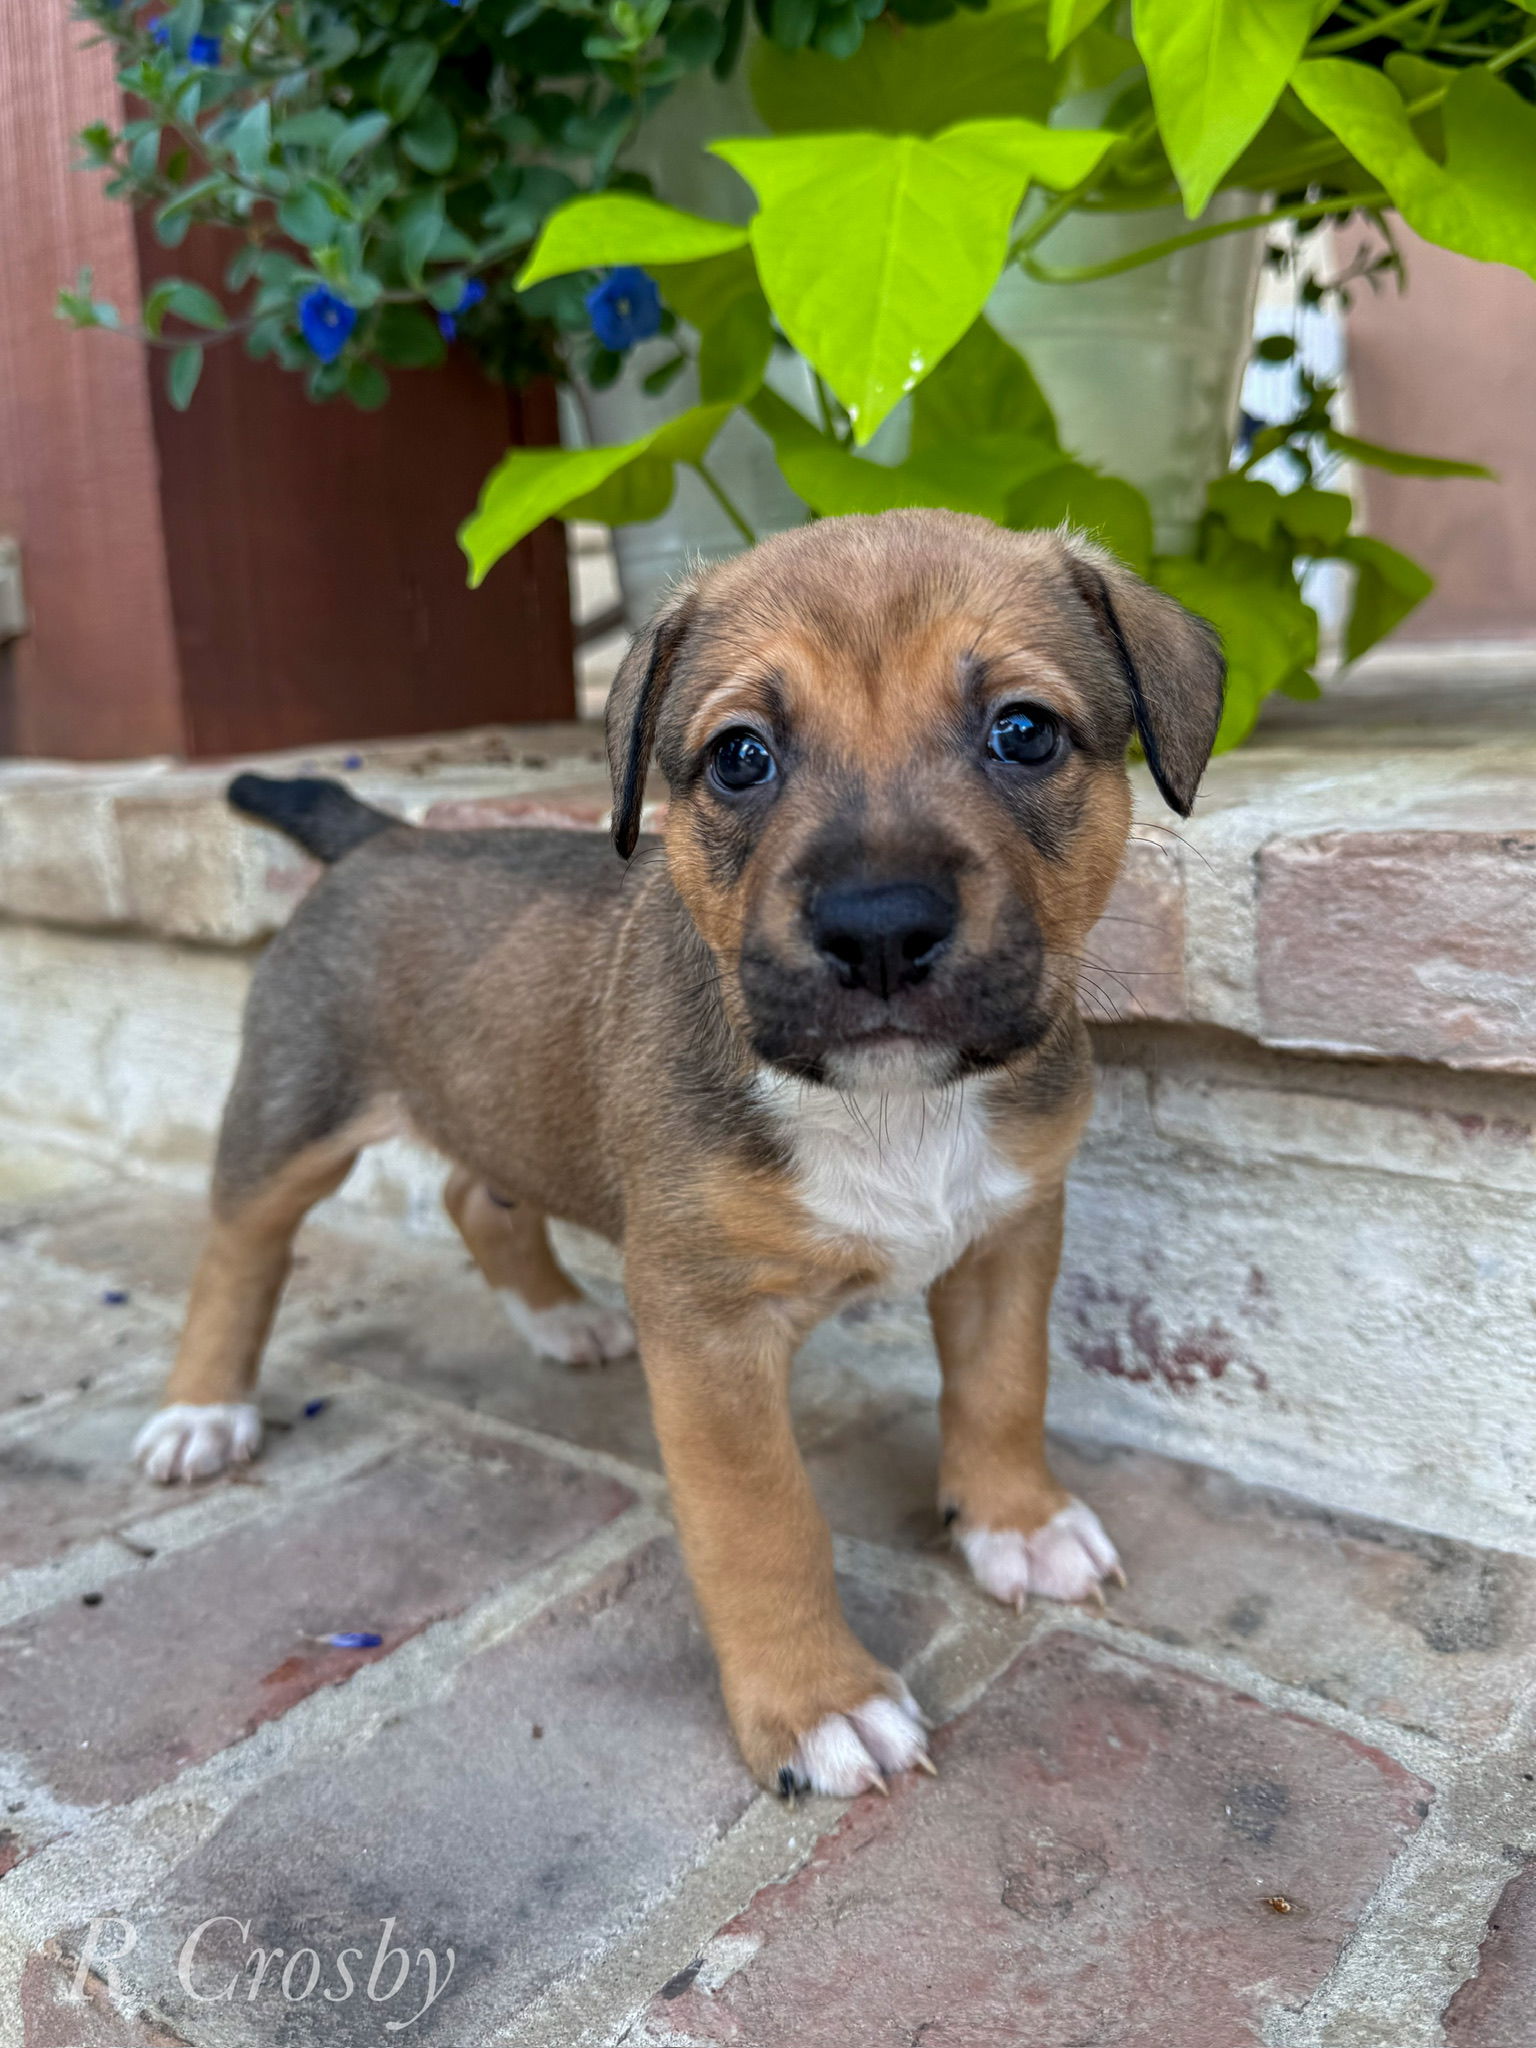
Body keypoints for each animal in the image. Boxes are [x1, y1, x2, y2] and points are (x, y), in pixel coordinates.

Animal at [129, 507, 1228, 1794]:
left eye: (1024, 732)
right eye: (740, 756)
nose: (879, 927)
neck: (887, 1106)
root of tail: (377, 838)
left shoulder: (1009, 1232)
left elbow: (1006, 1389)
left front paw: (1019, 1522)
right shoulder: (709, 1330)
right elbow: (764, 1522)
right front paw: (819, 1702)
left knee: (477, 1195)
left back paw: (559, 1319)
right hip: (290, 1112)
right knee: (237, 1250)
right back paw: (203, 1412)